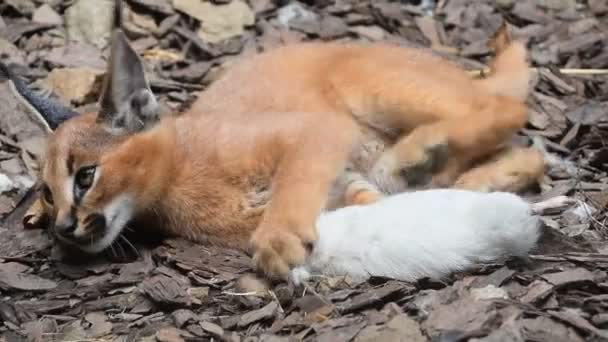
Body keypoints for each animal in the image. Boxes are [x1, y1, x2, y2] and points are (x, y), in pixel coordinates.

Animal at [8, 0, 540, 278]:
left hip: (382, 91)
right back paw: (447, 173)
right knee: (529, 153)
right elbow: (374, 207)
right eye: (48, 197)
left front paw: (278, 239)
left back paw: (418, 153)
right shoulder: (348, 186)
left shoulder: (316, 130)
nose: (63, 228)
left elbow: (294, 184)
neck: (175, 176)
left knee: (509, 110)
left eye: (85, 177)